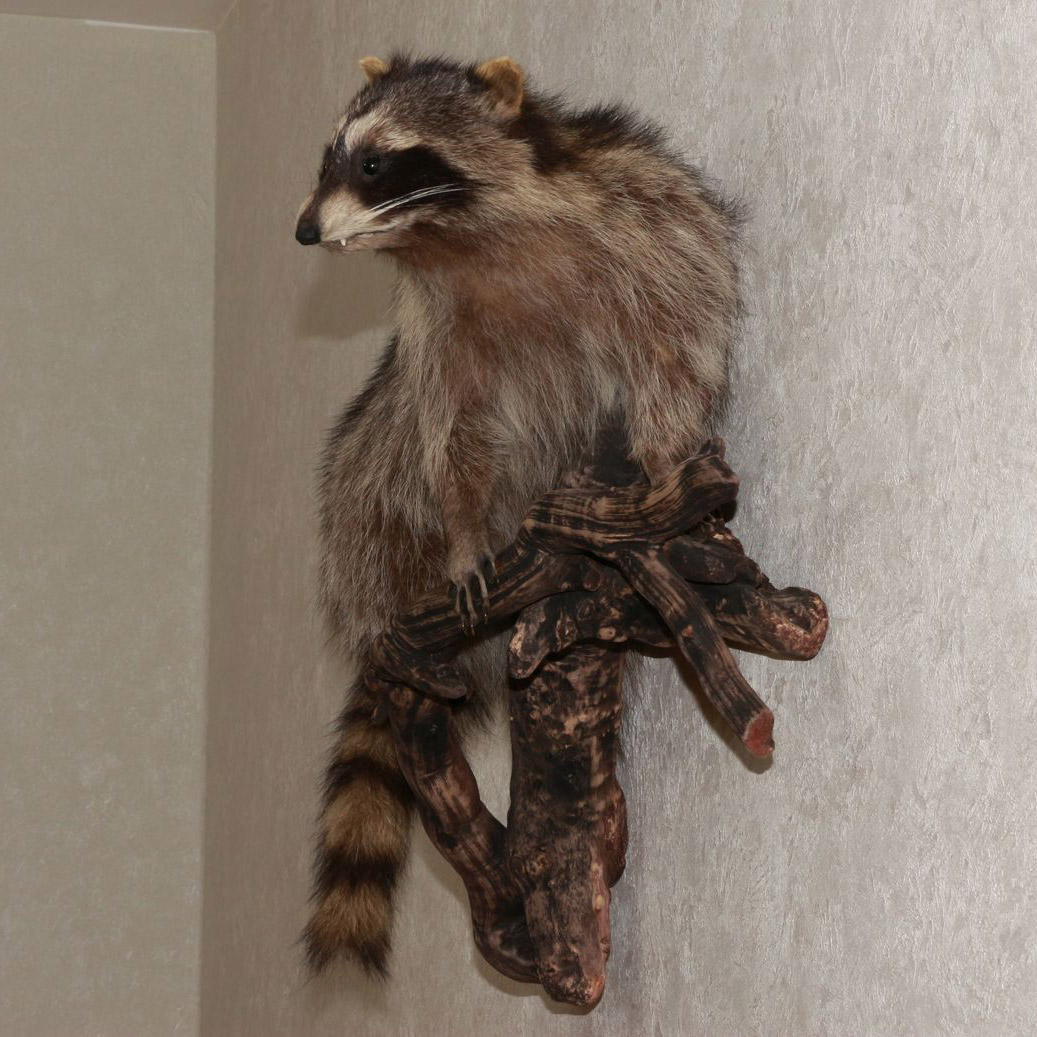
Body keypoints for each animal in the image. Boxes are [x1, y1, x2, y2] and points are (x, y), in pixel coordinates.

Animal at [296, 53, 740, 977]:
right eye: (329, 156)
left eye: (375, 162)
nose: (305, 232)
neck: (455, 238)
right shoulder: (436, 339)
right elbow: (453, 442)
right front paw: (468, 539)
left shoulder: (651, 225)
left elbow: (676, 351)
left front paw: (667, 468)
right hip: (373, 475)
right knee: (372, 473)